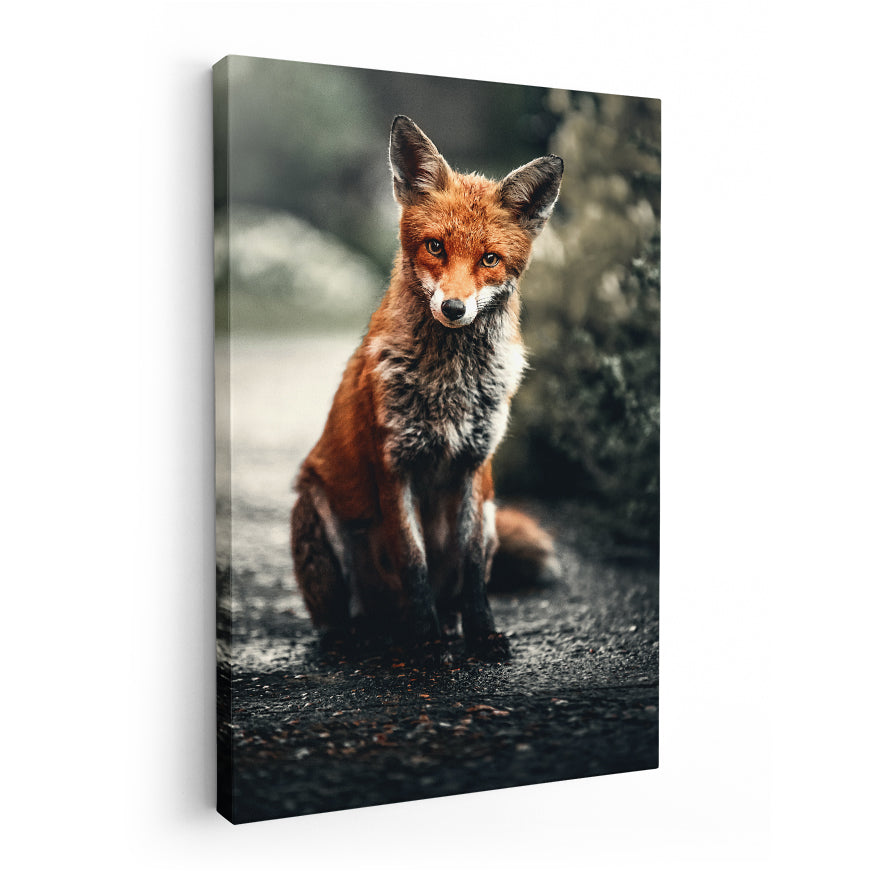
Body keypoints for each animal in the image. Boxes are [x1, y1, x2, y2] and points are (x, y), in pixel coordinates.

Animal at [291, 116, 563, 661]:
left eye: (490, 259)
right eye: (435, 246)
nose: (454, 308)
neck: (450, 385)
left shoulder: (475, 468)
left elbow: (474, 569)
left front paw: (481, 634)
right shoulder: (394, 467)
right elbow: (412, 562)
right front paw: (430, 643)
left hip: (492, 510)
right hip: (315, 510)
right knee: (345, 617)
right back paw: (368, 636)